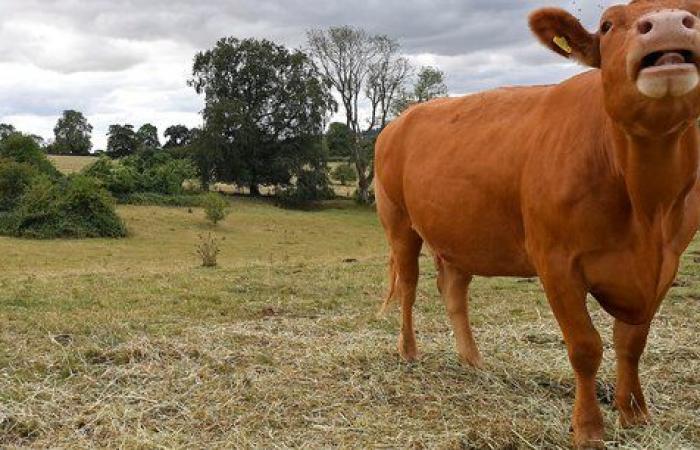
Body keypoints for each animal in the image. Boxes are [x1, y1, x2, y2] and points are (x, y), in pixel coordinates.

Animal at [374, 1, 700, 448]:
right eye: (607, 25)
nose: (668, 23)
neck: (647, 208)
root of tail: (401, 119)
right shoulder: (557, 262)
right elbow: (585, 347)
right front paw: (588, 428)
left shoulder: (667, 264)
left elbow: (631, 343)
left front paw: (635, 415)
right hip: (399, 221)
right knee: (408, 286)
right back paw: (408, 351)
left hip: (460, 234)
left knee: (454, 291)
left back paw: (472, 360)